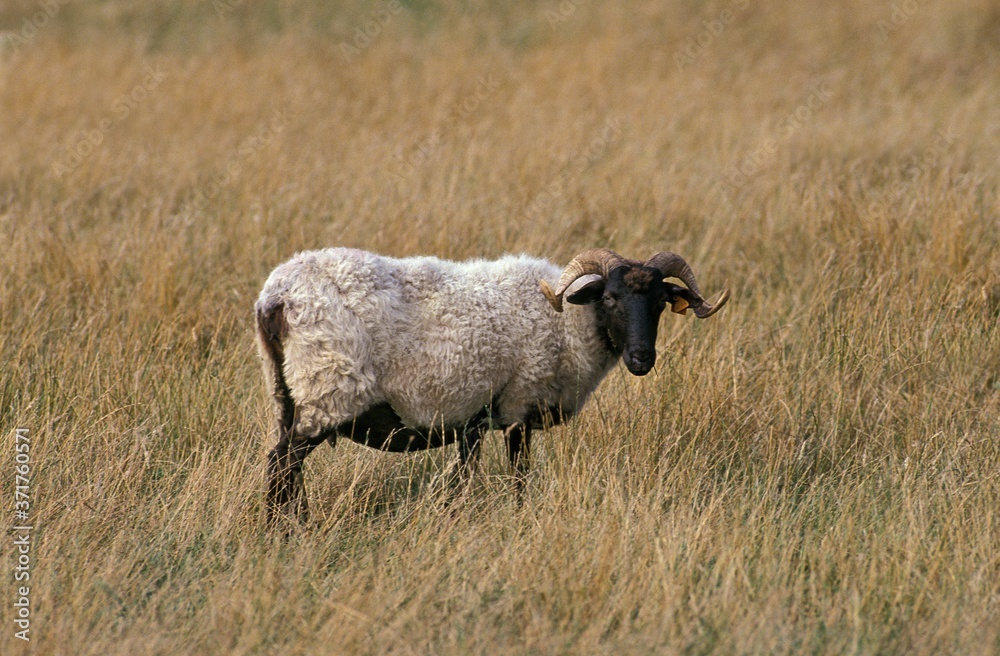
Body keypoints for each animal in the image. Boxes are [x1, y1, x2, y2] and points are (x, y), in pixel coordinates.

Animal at [256, 247, 729, 523]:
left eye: (661, 303)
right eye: (610, 298)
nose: (642, 359)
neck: (568, 323)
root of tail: (276, 296)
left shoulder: (474, 420)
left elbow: (464, 477)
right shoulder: (518, 403)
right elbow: (519, 475)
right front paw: (519, 520)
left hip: (286, 392)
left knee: (287, 465)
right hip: (326, 388)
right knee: (282, 463)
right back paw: (288, 531)